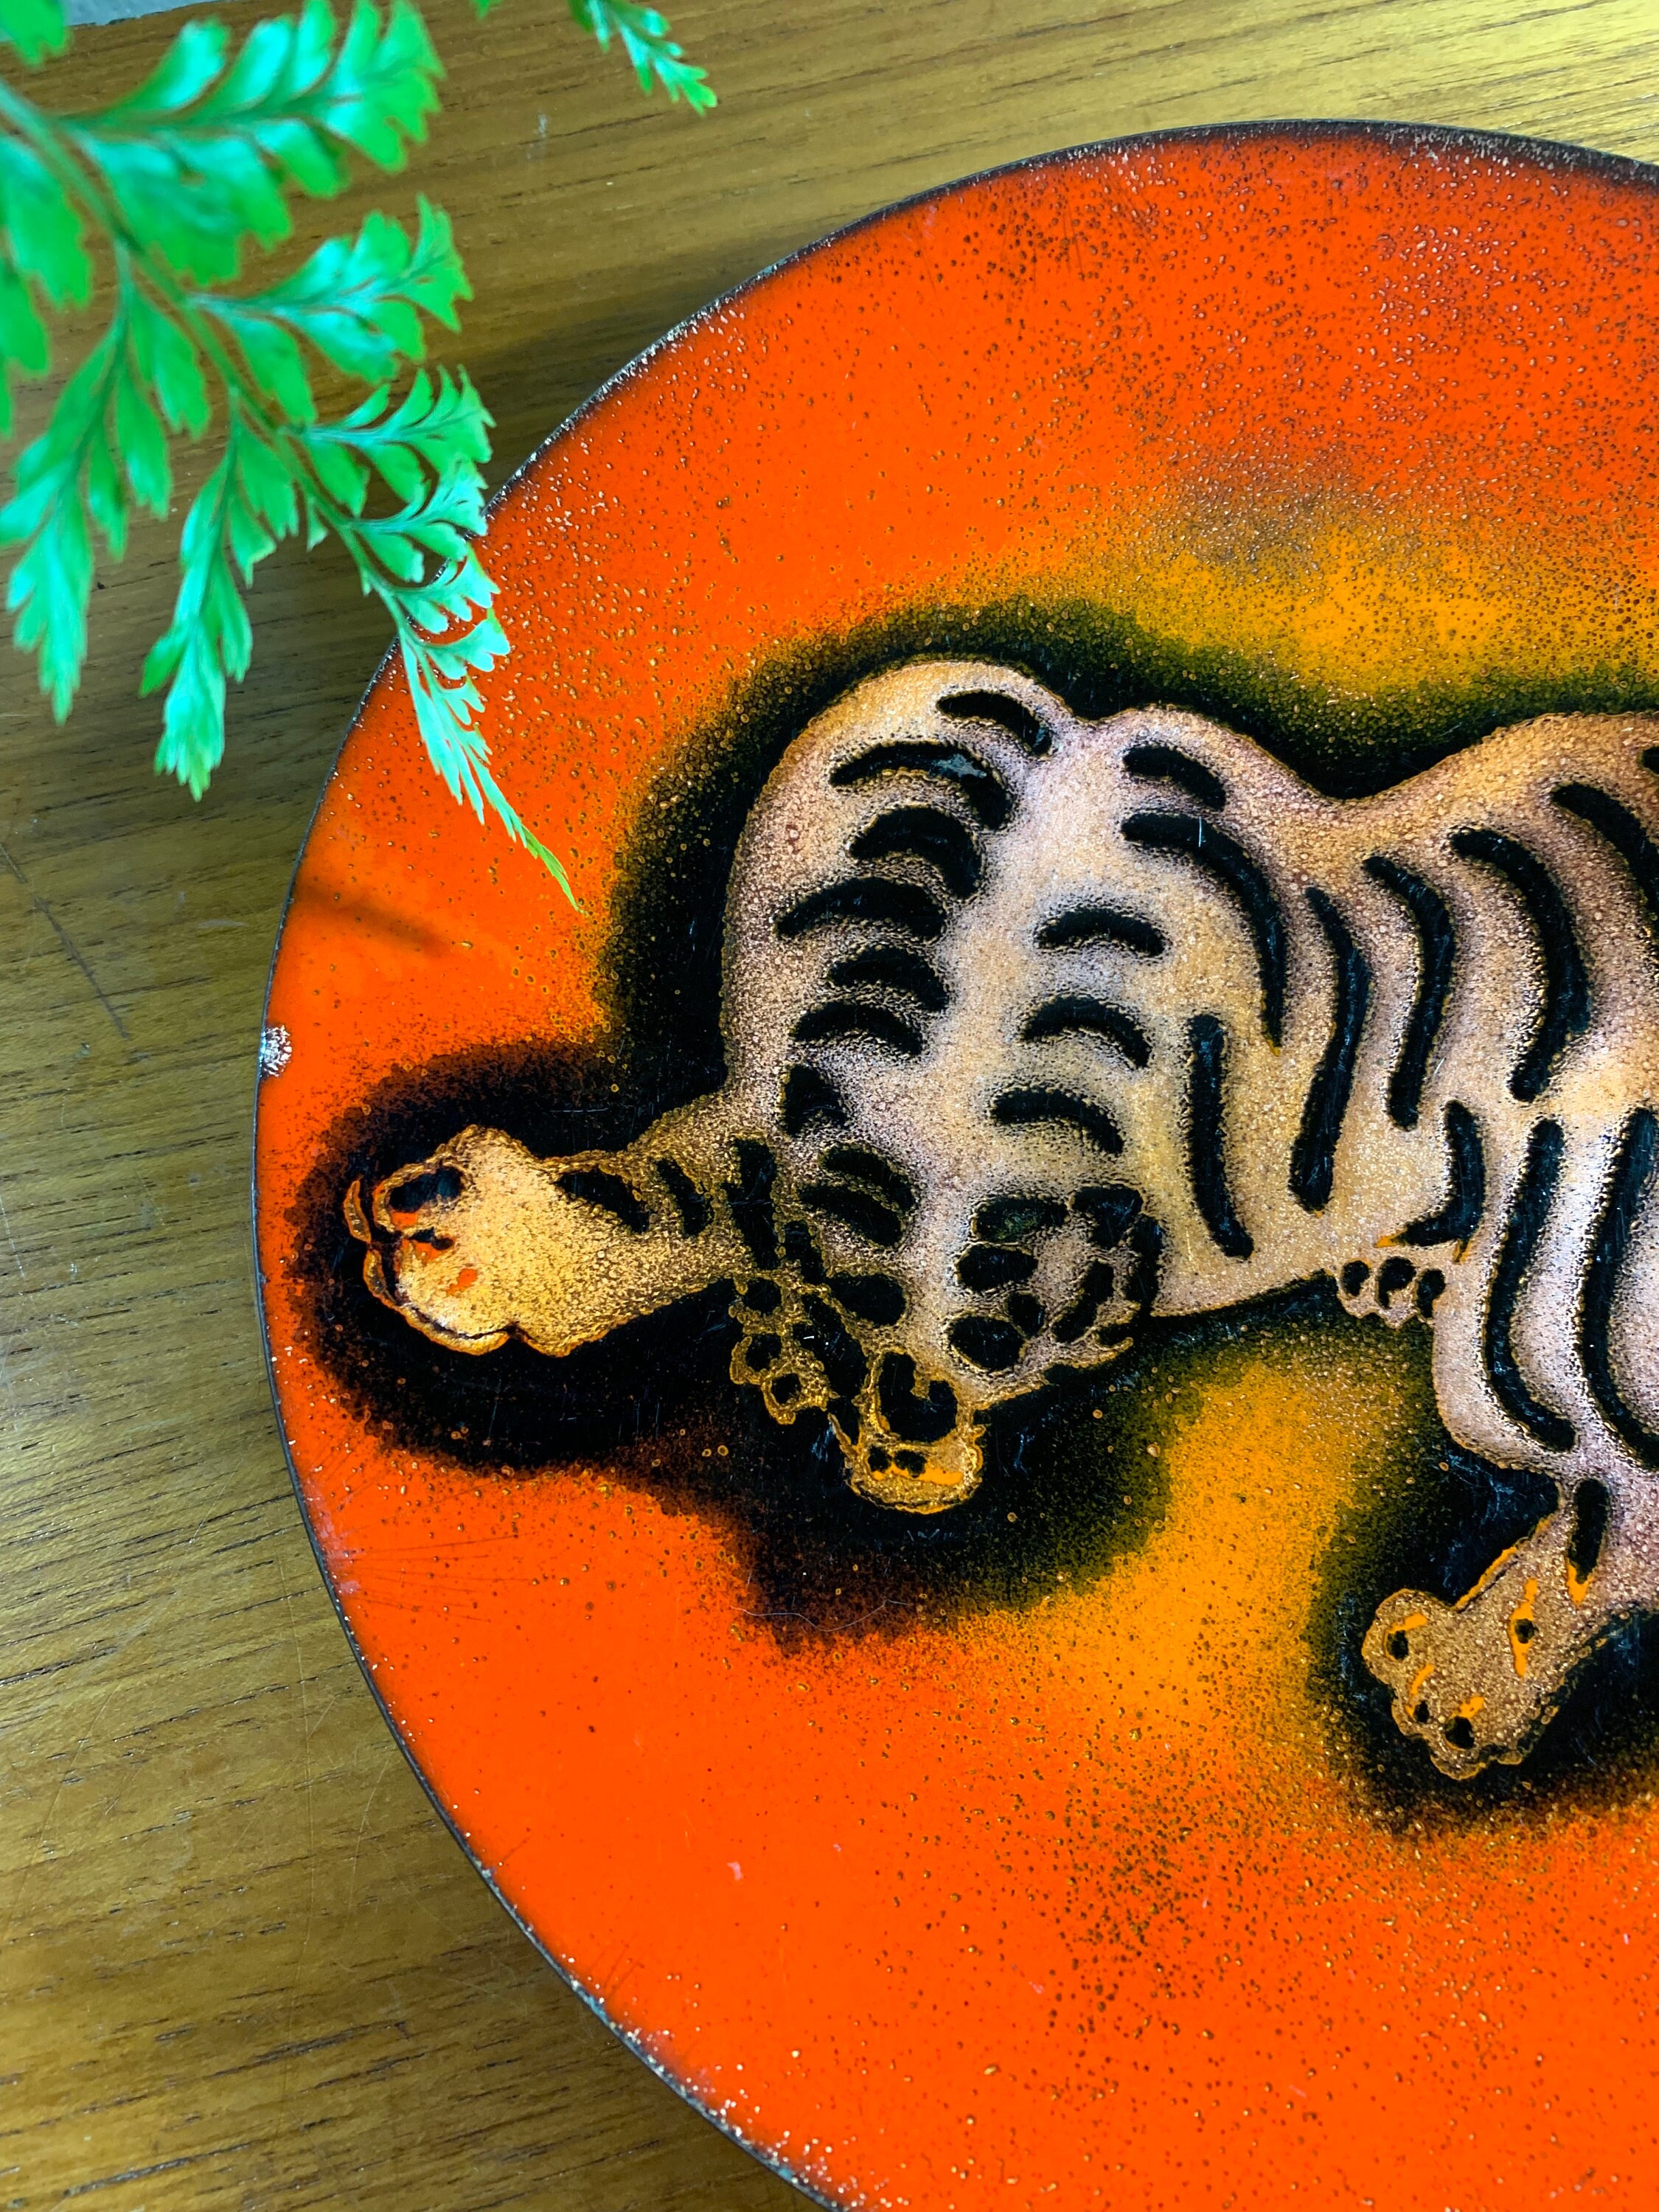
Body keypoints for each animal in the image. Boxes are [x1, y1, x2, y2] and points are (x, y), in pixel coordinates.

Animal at [345, 659, 1659, 1781]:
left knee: (1612, 1497)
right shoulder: (776, 1085)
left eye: (1007, 1347)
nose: (906, 1457)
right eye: (852, 1304)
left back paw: (1468, 1672)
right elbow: (676, 1181)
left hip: (1539, 1314)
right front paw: (476, 1249)